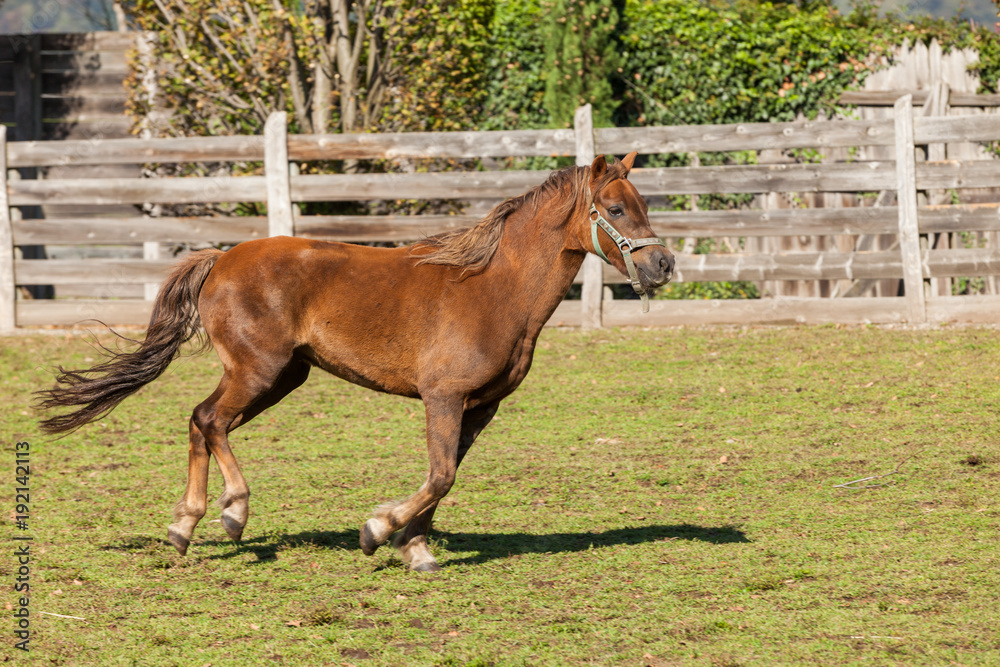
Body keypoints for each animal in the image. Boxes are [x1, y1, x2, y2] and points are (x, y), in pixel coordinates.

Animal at [36, 152, 674, 572]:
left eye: (642, 204)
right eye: (615, 208)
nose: (663, 265)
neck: (494, 289)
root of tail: (220, 259)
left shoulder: (479, 408)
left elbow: (445, 477)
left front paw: (415, 548)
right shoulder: (443, 397)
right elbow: (439, 475)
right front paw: (377, 531)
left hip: (282, 376)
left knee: (201, 421)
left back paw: (184, 525)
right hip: (258, 370)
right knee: (209, 420)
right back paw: (231, 513)